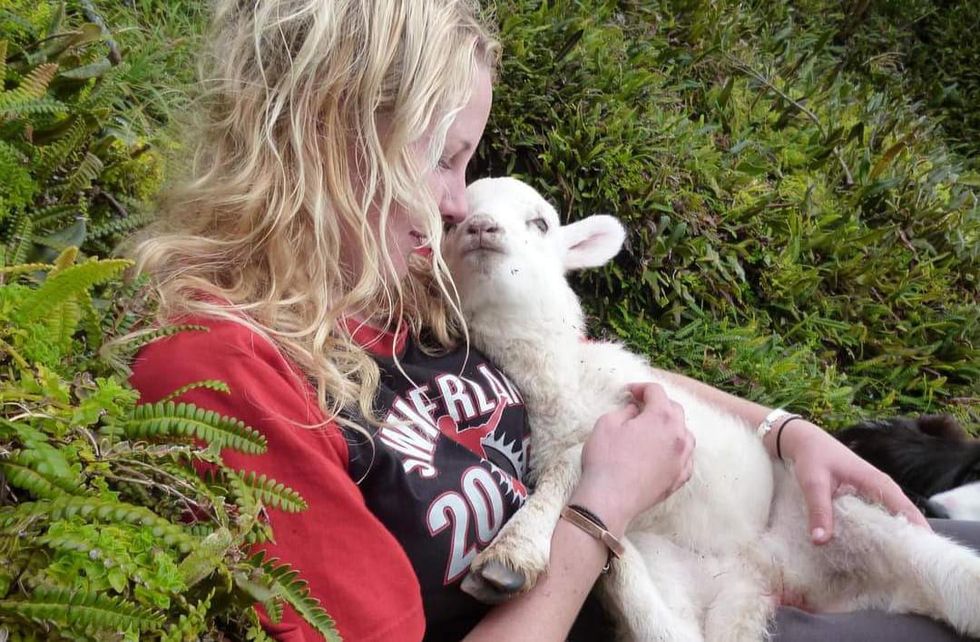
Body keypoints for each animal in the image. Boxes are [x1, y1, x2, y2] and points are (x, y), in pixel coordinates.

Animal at [441, 176, 980, 642]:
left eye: (540, 223)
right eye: (452, 221)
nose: (480, 227)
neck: (566, 385)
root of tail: (765, 574)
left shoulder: (638, 402)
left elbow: (572, 463)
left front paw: (513, 551)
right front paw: (512, 558)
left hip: (843, 515)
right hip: (682, 571)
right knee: (671, 629)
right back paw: (619, 570)